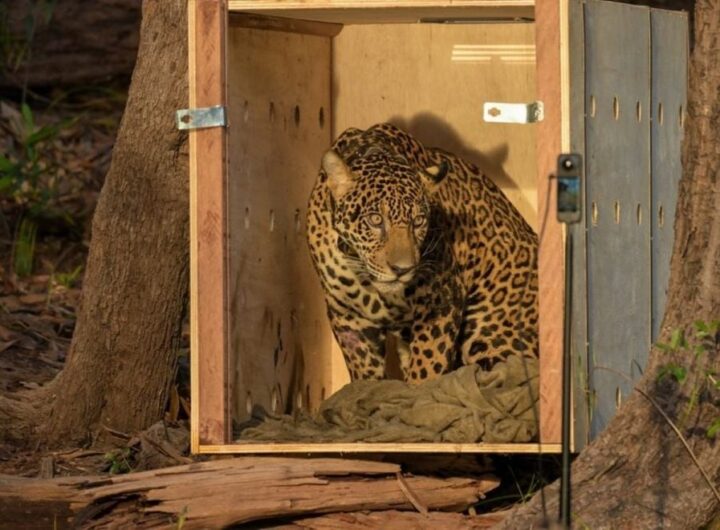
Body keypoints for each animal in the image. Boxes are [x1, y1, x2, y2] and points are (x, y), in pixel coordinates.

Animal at [306, 123, 538, 383]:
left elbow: (425, 372)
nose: (402, 269)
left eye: (418, 221)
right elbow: (366, 378)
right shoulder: (348, 317)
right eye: (375, 220)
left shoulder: (440, 301)